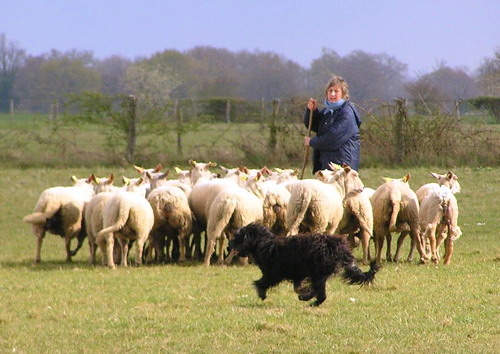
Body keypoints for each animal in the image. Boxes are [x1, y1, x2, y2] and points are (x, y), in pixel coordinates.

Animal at [230, 223, 378, 306]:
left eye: (237, 237)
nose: (229, 244)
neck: (264, 243)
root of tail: (339, 246)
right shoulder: (298, 274)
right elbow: (297, 287)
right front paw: (304, 292)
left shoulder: (273, 273)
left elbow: (262, 283)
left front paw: (261, 293)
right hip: (320, 273)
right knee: (320, 291)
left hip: (318, 272)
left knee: (321, 293)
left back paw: (312, 302)